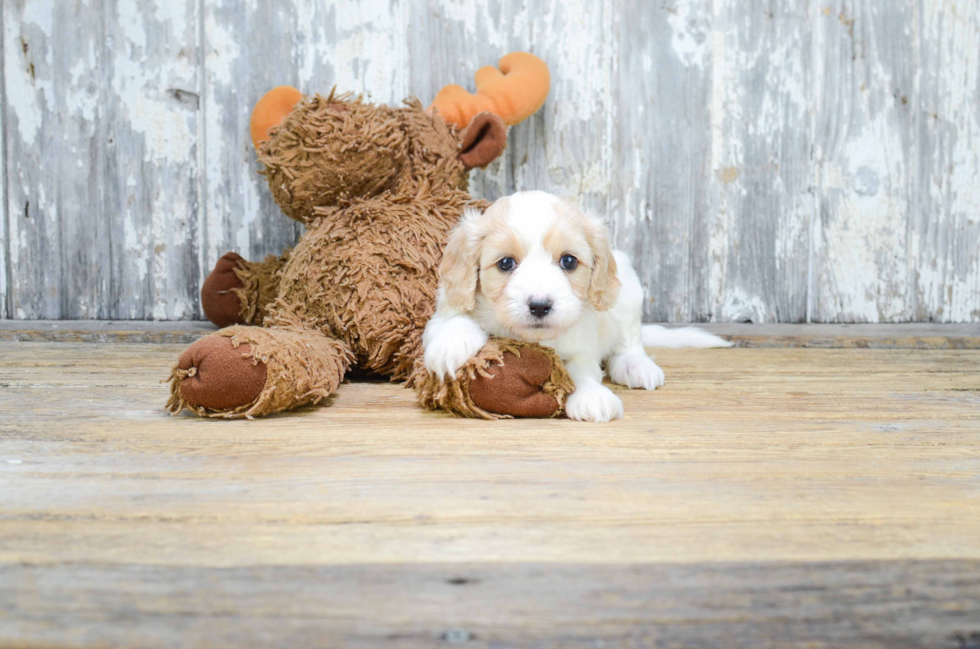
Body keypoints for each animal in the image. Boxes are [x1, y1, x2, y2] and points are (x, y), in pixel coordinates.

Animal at [424, 190, 732, 422]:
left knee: (629, 340)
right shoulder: (444, 308)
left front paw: (591, 395)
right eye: (506, 263)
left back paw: (636, 364)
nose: (539, 306)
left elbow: (582, 371)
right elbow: (454, 320)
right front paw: (451, 346)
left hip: (628, 293)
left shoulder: (582, 348)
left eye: (569, 261)